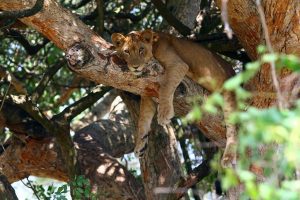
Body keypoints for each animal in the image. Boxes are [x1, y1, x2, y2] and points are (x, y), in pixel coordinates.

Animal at [111, 29, 238, 167]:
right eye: (126, 51)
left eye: (141, 49)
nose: (135, 67)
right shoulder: (147, 92)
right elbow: (143, 119)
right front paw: (140, 144)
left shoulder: (178, 65)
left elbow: (166, 87)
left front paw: (164, 114)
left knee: (233, 129)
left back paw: (228, 157)